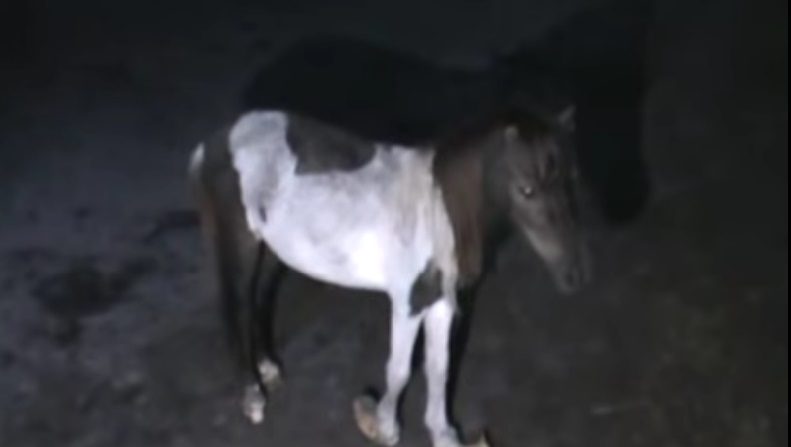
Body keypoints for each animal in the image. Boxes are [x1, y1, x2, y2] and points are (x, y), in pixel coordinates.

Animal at [189, 108, 588, 447]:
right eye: (526, 189)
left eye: (572, 181)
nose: (575, 276)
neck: (438, 210)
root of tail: (215, 143)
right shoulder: (408, 303)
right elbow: (399, 370)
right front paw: (383, 427)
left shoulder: (440, 304)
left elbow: (439, 369)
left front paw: (443, 434)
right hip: (239, 246)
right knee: (237, 307)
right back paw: (253, 396)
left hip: (275, 250)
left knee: (260, 301)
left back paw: (269, 368)